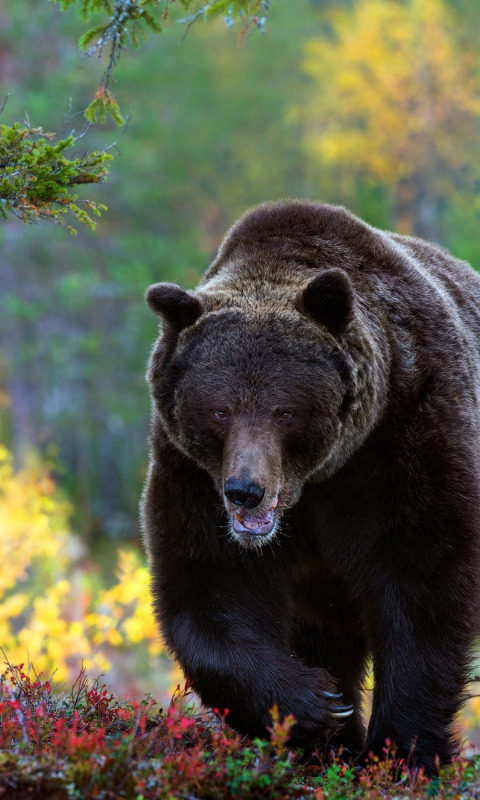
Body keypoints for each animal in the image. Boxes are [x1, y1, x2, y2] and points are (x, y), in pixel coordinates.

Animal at [141, 200, 480, 776]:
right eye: (219, 410)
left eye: (285, 410)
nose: (245, 491)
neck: (317, 481)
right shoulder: (190, 476)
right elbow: (208, 588)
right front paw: (317, 705)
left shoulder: (408, 443)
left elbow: (424, 588)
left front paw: (403, 751)